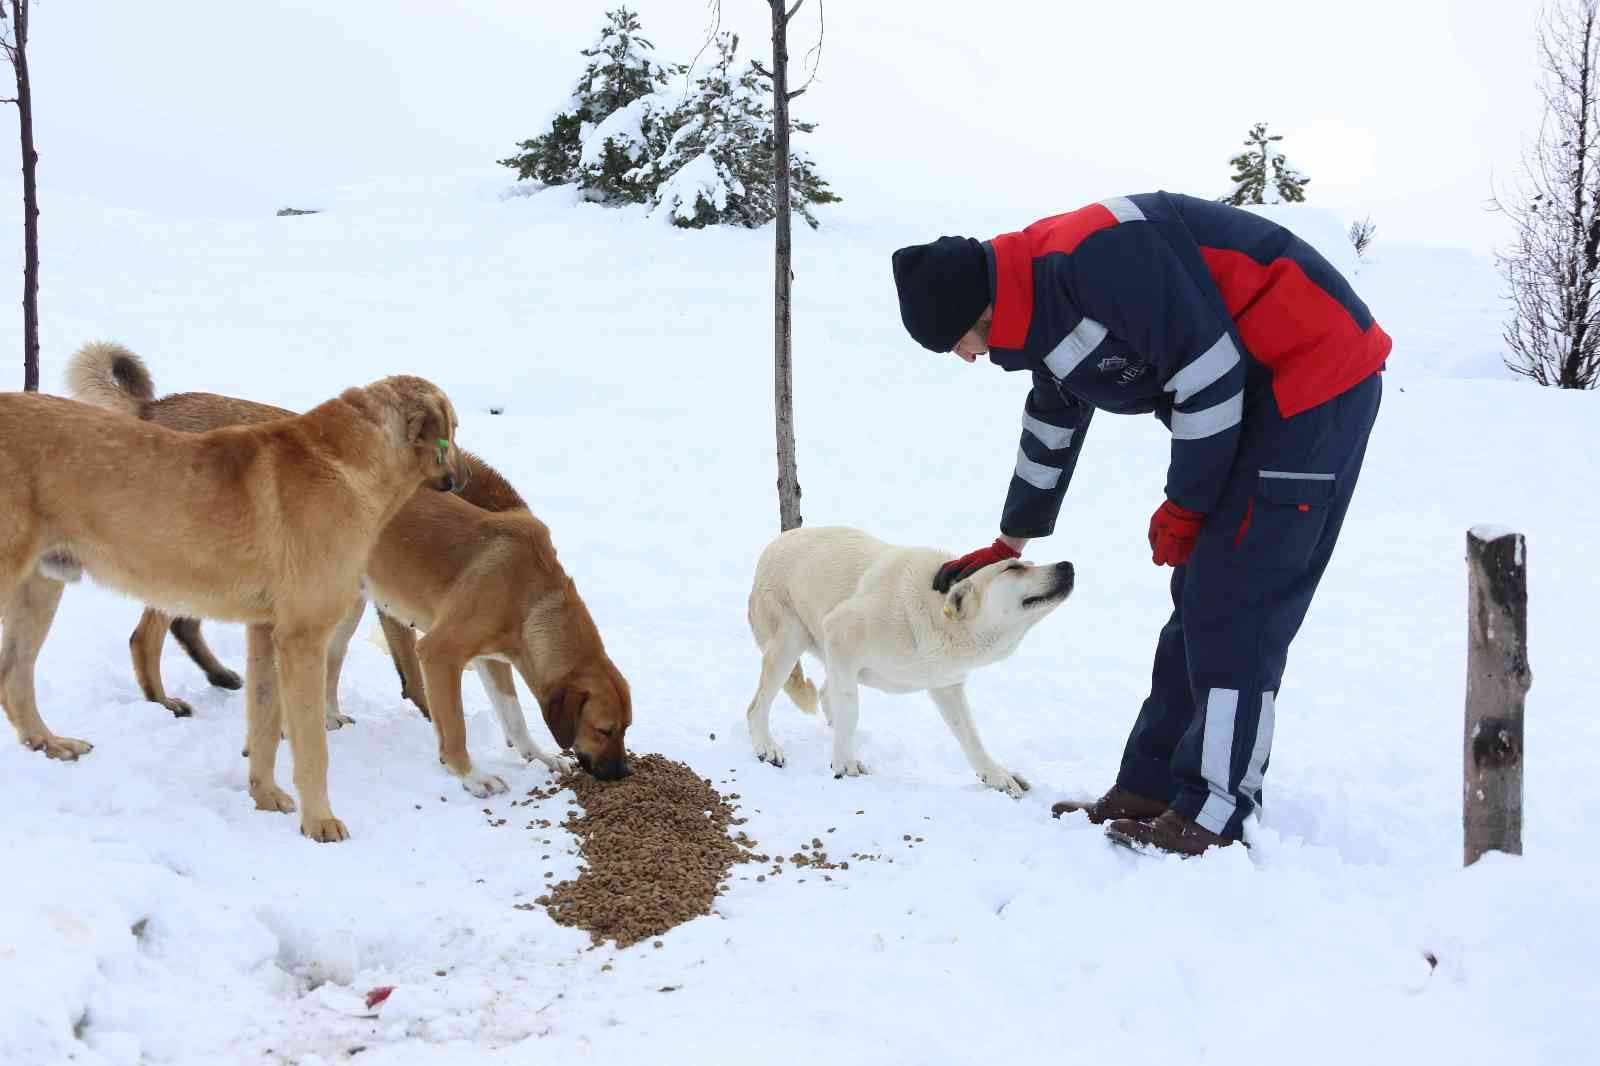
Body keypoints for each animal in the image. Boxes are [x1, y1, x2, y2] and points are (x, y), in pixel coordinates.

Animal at [739, 528, 1075, 793]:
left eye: (1028, 563)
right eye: (1013, 568)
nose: (1067, 565)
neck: (939, 616)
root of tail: (774, 544)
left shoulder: (946, 686)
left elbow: (971, 737)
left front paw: (995, 776)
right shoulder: (840, 633)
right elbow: (851, 711)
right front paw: (844, 764)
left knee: (824, 692)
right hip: (789, 643)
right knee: (757, 707)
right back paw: (767, 747)